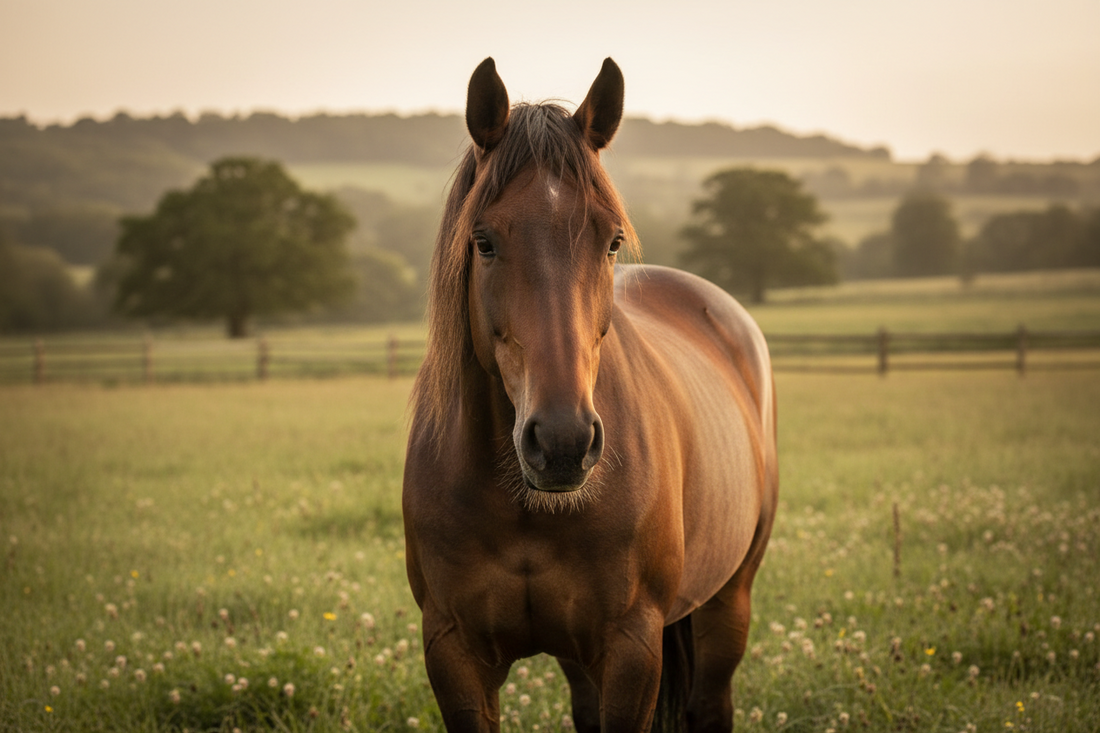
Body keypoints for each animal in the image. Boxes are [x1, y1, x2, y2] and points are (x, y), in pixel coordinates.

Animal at [402, 57, 778, 733]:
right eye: (484, 241)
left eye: (611, 241)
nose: (562, 442)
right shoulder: (453, 650)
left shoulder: (632, 647)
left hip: (728, 600)